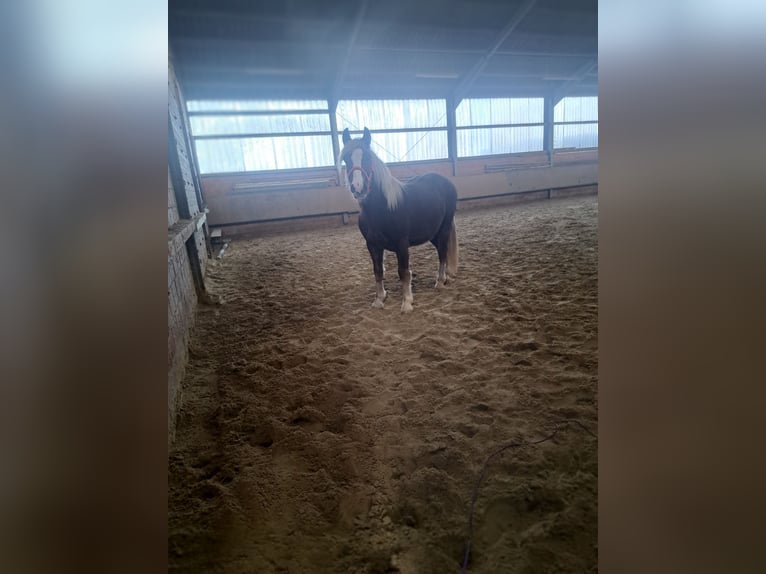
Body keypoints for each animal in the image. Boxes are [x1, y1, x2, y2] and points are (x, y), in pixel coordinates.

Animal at [339, 127, 459, 312]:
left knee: (442, 253)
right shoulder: (372, 245)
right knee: (442, 251)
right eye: (346, 158)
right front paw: (379, 299)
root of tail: (446, 182)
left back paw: (439, 282)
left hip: (444, 229)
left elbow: (403, 272)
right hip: (433, 234)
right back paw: (443, 278)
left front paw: (407, 302)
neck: (381, 210)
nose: (358, 188)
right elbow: (378, 270)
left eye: (367, 157)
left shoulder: (402, 244)